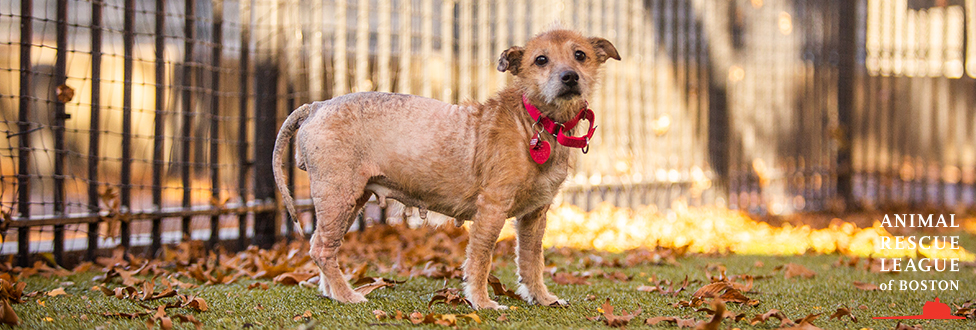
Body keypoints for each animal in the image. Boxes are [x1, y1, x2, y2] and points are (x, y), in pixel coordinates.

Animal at [272, 29, 616, 310]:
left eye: (580, 55)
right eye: (541, 60)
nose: (570, 76)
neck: (536, 123)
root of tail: (315, 106)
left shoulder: (535, 216)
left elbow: (532, 261)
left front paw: (543, 299)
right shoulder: (491, 209)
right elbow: (480, 259)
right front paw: (483, 303)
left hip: (350, 202)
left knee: (323, 248)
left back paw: (332, 292)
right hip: (337, 196)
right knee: (321, 250)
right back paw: (347, 296)